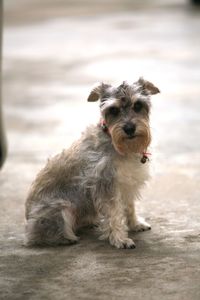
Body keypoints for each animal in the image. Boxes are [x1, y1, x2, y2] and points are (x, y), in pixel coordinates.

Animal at [24, 77, 159, 248]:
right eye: (113, 110)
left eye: (138, 105)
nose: (129, 128)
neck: (119, 145)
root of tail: (27, 221)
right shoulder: (106, 185)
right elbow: (114, 214)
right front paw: (120, 239)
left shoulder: (127, 184)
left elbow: (129, 207)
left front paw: (135, 224)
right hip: (62, 208)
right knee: (42, 235)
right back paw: (65, 237)